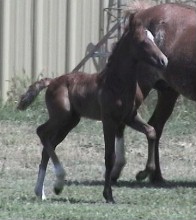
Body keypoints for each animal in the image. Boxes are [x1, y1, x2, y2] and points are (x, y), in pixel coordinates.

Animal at [17, 14, 167, 203]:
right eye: (143, 42)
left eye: (153, 39)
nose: (164, 60)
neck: (117, 83)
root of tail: (52, 81)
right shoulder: (109, 121)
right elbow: (110, 156)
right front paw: (108, 195)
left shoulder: (130, 117)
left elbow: (152, 131)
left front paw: (143, 173)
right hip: (61, 117)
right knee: (41, 132)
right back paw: (58, 183)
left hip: (70, 122)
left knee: (48, 146)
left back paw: (41, 191)